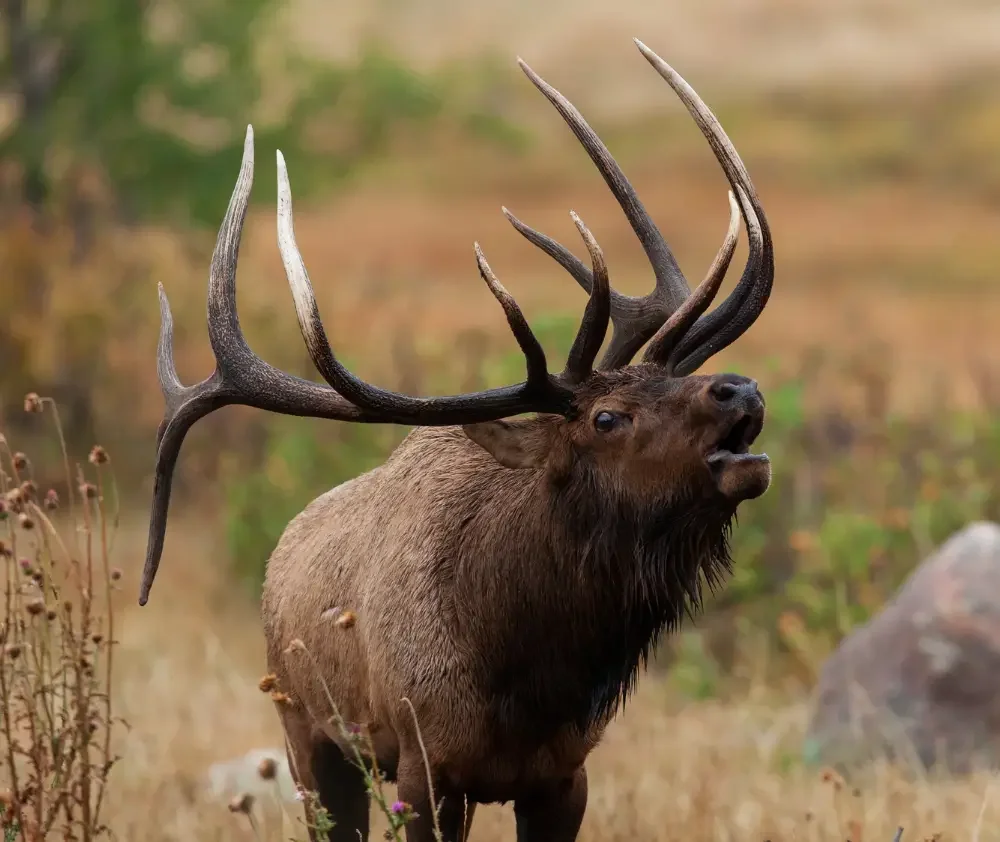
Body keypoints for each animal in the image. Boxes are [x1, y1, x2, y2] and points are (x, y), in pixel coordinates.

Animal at [137, 39, 774, 842]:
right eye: (606, 418)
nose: (741, 389)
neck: (528, 673)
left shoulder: (567, 773)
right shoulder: (427, 765)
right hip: (305, 731)